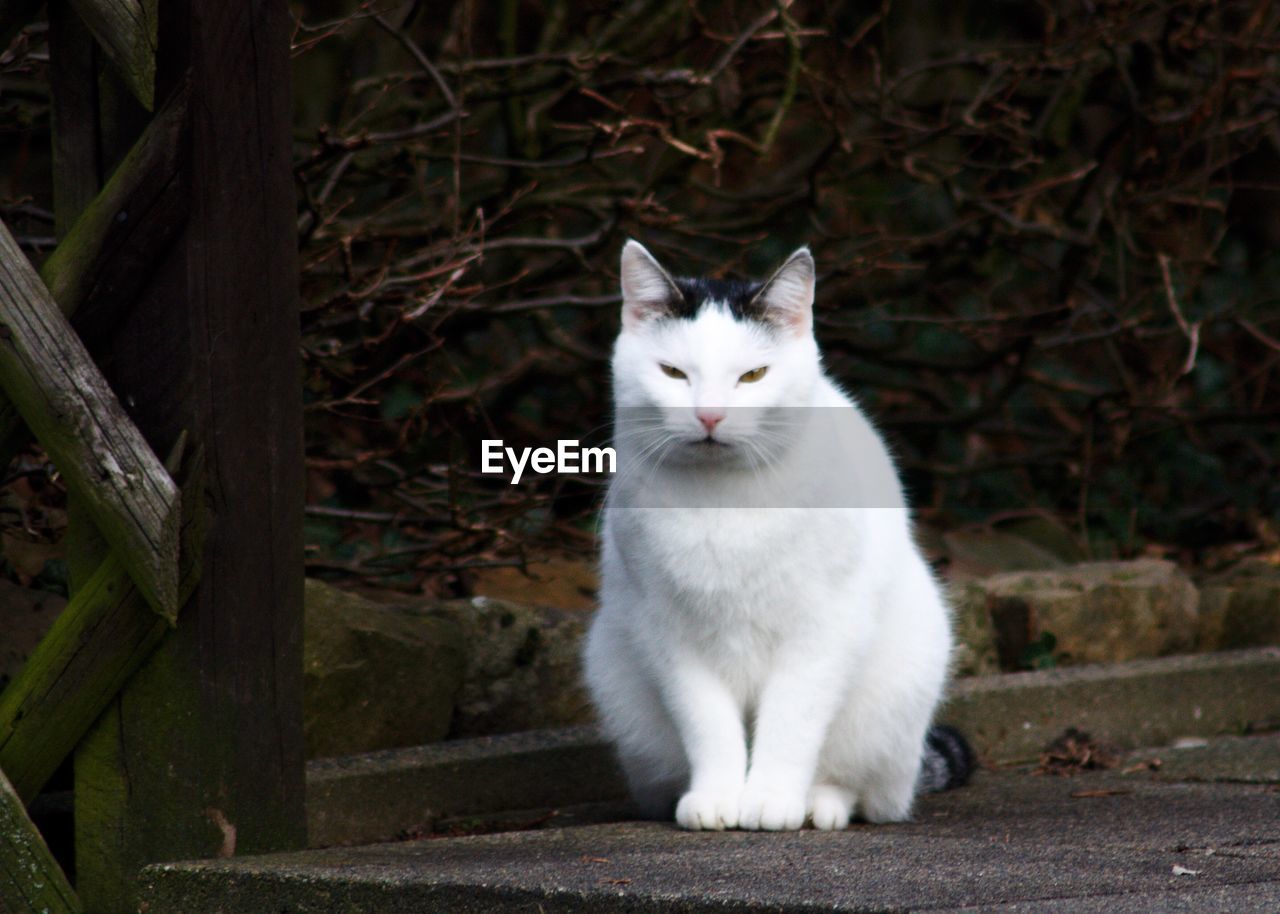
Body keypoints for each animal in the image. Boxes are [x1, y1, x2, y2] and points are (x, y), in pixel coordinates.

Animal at [581, 238, 967, 829]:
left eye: (753, 376)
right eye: (673, 373)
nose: (710, 415)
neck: (723, 504)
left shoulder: (822, 631)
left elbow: (792, 724)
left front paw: (771, 799)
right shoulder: (669, 635)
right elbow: (708, 727)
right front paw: (717, 798)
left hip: (895, 691)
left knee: (862, 787)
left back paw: (818, 805)